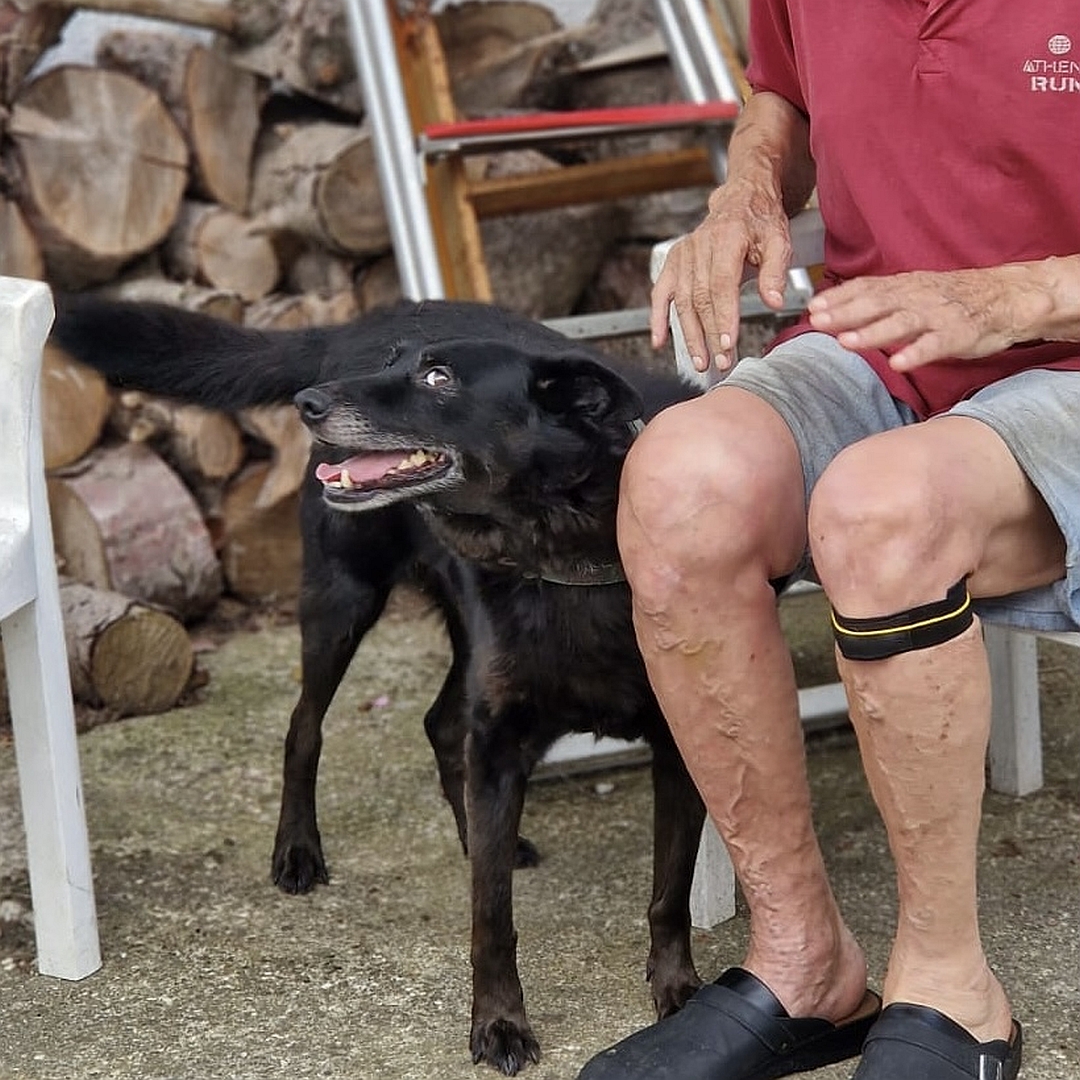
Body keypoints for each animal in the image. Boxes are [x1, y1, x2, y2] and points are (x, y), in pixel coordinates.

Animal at [52, 295, 708, 1071]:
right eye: (398, 366)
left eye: (437, 377)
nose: (309, 404)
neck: (566, 551)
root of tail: (355, 327)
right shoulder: (501, 740)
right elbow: (491, 915)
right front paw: (499, 1023)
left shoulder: (680, 746)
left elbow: (670, 892)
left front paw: (677, 990)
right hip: (343, 600)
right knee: (303, 727)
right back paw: (299, 851)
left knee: (439, 725)